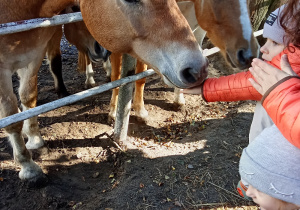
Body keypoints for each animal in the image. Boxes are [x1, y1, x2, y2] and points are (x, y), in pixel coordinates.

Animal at [0, 0, 206, 185]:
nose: (198, 69)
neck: (19, 10)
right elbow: (12, 119)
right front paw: (29, 168)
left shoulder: (33, 57)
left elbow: (28, 98)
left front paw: (34, 139)